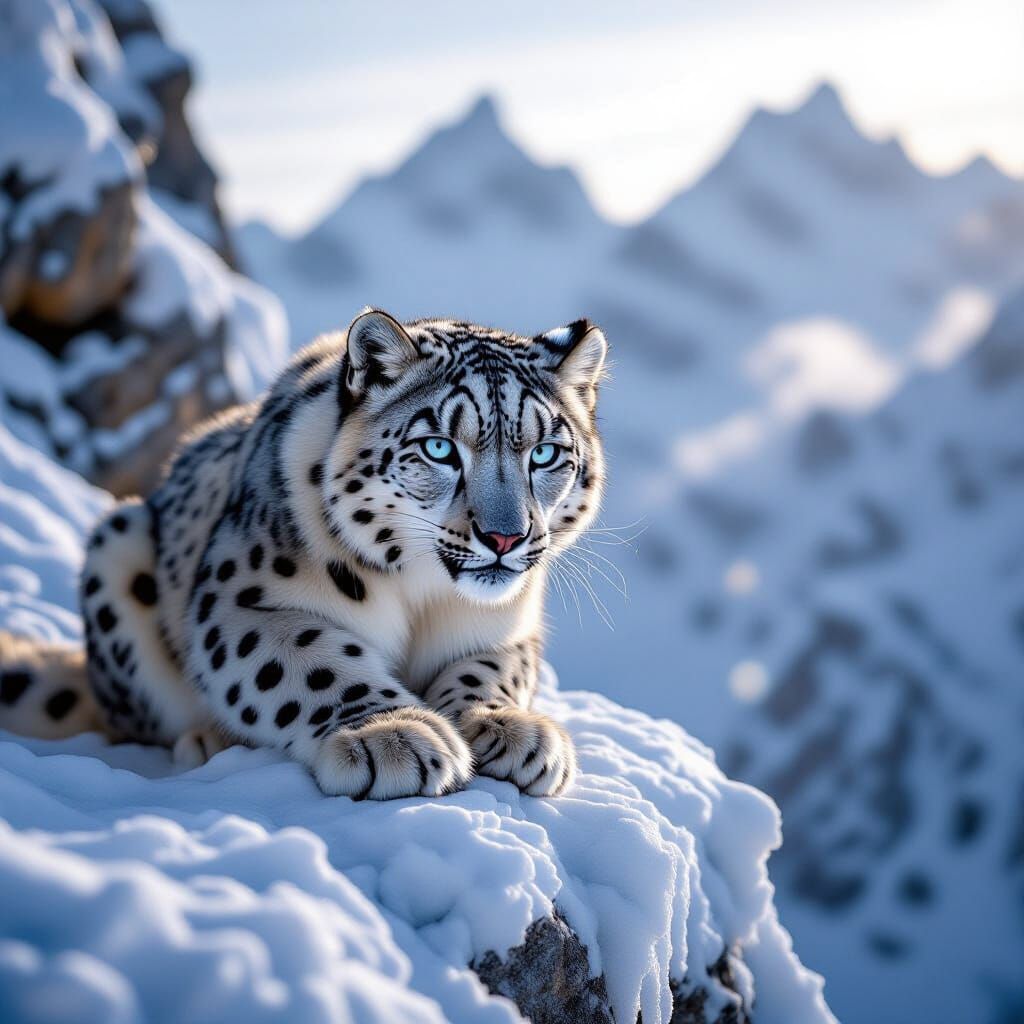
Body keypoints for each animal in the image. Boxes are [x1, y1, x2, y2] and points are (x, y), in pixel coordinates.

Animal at [0, 310, 607, 799]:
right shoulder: (244, 602)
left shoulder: (509, 627)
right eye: (439, 448)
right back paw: (207, 741)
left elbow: (492, 670)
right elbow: (315, 660)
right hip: (119, 547)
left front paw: (509, 728)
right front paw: (395, 736)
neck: (424, 597)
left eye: (545, 453)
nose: (506, 537)